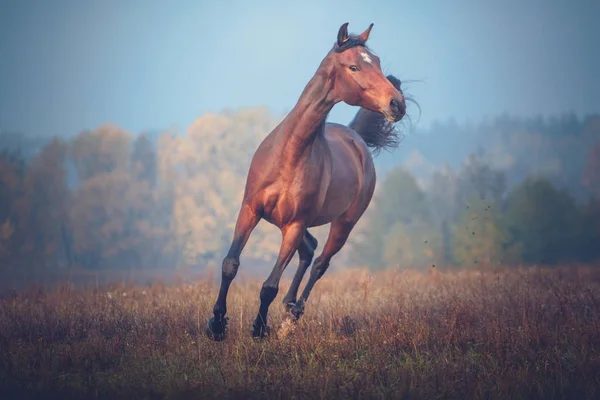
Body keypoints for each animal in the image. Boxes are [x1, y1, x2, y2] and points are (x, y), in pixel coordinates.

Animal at [206, 22, 408, 340]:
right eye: (354, 66)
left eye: (376, 62)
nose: (397, 104)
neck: (289, 154)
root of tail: (357, 139)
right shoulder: (250, 210)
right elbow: (230, 264)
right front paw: (216, 324)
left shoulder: (294, 225)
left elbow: (269, 286)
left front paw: (259, 328)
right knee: (310, 249)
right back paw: (289, 306)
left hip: (343, 223)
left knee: (320, 262)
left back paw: (292, 317)